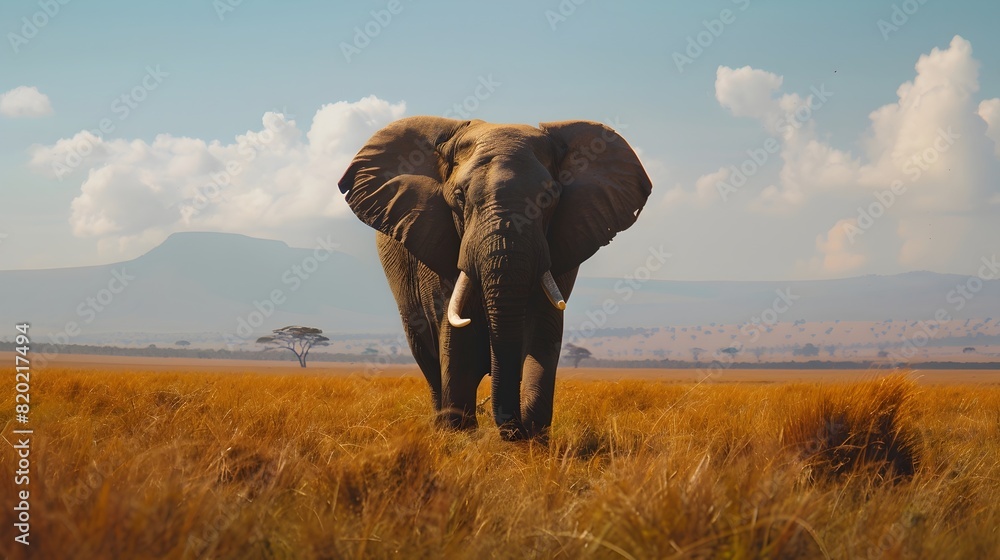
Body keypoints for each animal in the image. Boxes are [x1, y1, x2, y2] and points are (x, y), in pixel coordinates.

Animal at [339, 116, 651, 440]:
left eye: (548, 198)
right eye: (459, 197)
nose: (515, 430)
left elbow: (543, 335)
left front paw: (532, 438)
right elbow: (456, 338)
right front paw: (460, 437)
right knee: (427, 358)